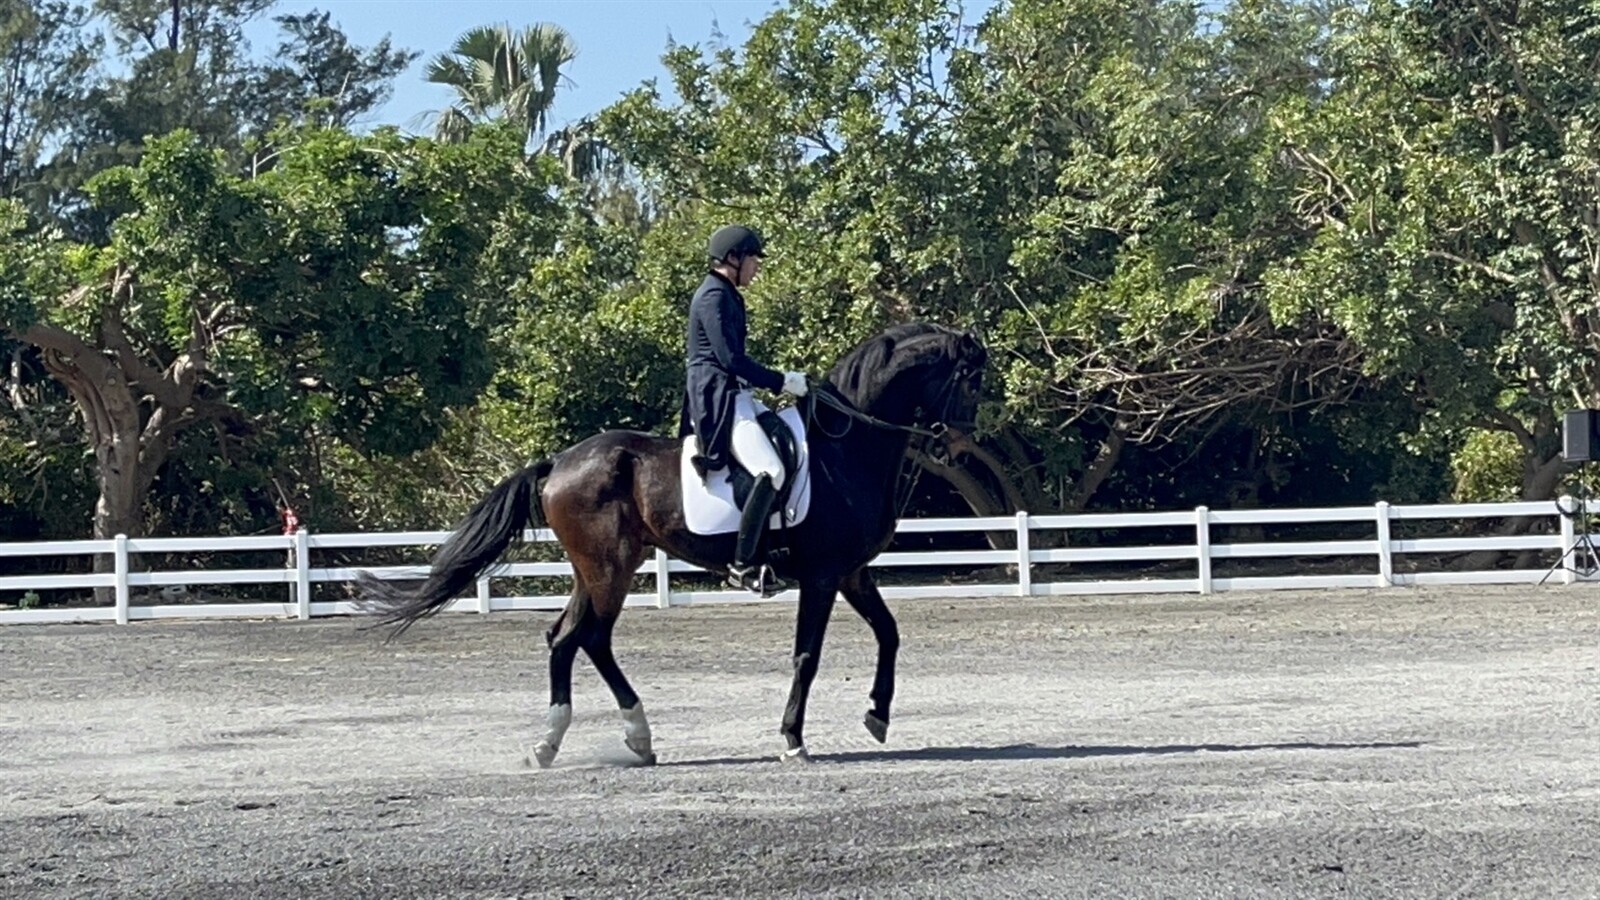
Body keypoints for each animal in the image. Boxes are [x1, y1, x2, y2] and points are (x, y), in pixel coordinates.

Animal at [361, 318, 985, 759]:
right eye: (970, 381)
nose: (959, 451)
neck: (846, 448)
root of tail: (558, 462)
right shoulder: (824, 575)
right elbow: (807, 655)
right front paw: (793, 739)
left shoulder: (852, 572)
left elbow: (890, 633)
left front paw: (877, 716)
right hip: (609, 568)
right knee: (589, 638)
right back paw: (618, 735)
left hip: (597, 569)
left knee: (566, 638)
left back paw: (570, 742)